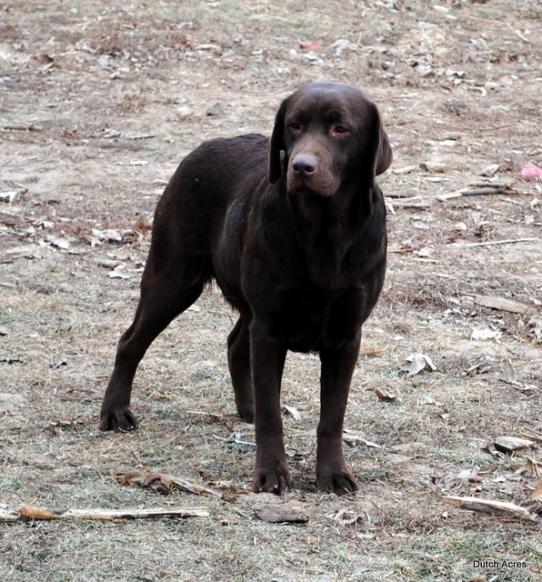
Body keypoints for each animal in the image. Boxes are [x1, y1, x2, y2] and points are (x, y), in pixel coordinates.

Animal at [100, 80, 394, 496]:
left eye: (341, 129)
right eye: (294, 125)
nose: (301, 166)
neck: (323, 232)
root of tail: (202, 147)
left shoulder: (346, 336)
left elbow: (332, 416)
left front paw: (333, 474)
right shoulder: (270, 329)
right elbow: (273, 417)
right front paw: (271, 473)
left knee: (236, 343)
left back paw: (247, 406)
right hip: (172, 279)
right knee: (130, 342)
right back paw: (115, 412)